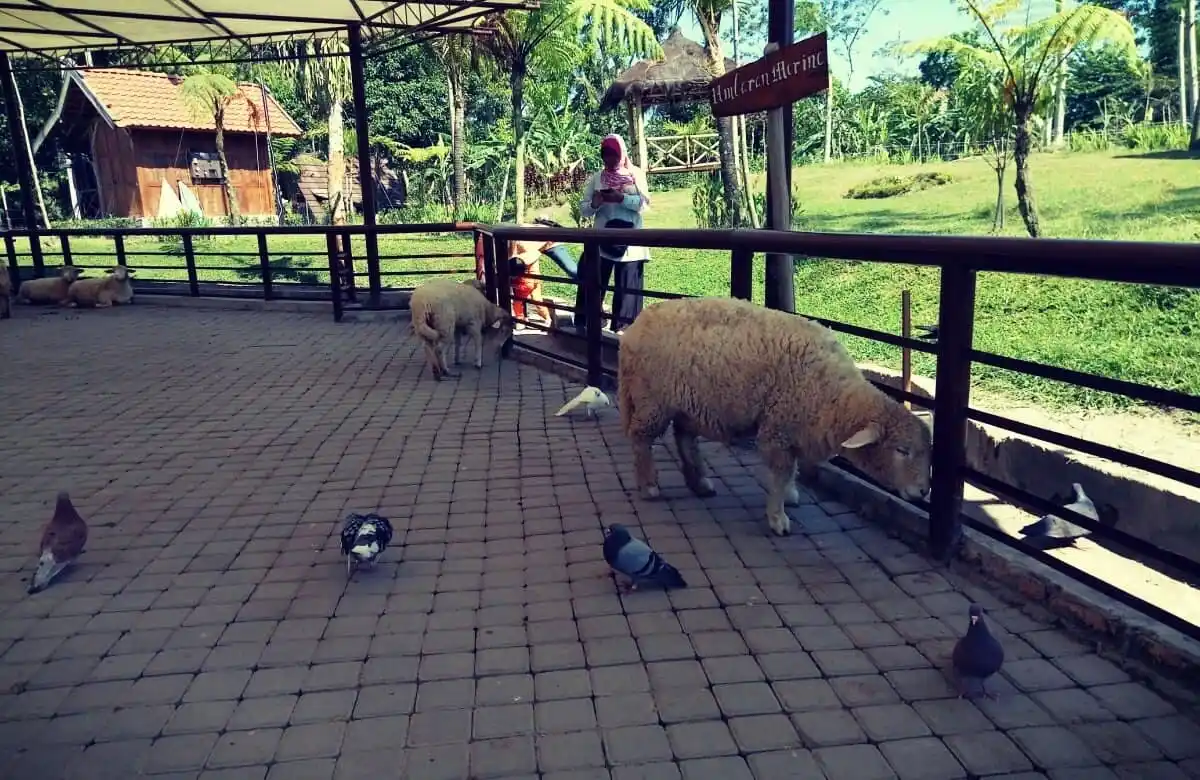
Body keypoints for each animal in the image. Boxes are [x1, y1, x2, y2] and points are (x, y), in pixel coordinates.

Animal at [617, 296, 932, 536]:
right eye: (901, 450)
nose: (923, 492)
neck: (832, 395)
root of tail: (636, 325)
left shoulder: (792, 429)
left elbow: (791, 470)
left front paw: (790, 496)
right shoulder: (778, 429)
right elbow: (781, 473)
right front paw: (778, 518)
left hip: (688, 405)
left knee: (684, 438)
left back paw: (700, 483)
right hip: (652, 401)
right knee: (641, 438)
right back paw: (648, 485)